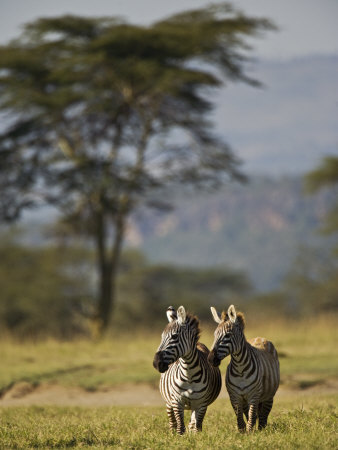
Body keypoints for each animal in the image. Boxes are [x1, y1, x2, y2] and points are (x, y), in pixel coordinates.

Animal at [153, 304, 222, 434]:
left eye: (175, 336)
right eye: (161, 337)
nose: (156, 363)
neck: (189, 373)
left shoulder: (201, 404)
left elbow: (197, 428)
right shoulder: (177, 402)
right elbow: (180, 428)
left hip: (194, 406)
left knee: (192, 424)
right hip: (168, 403)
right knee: (172, 423)